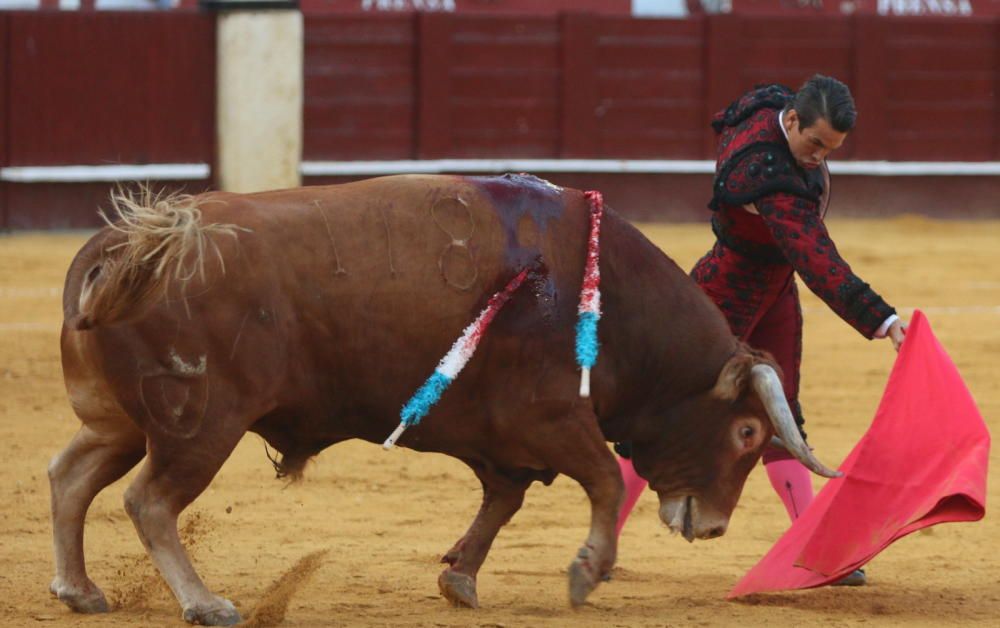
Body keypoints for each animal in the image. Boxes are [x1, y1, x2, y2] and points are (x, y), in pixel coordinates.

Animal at [48, 172, 836, 624]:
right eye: (746, 434)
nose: (714, 527)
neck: (607, 296)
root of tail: (130, 246)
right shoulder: (552, 415)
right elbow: (605, 480)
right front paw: (586, 573)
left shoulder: (504, 437)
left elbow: (503, 500)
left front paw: (459, 576)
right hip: (201, 424)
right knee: (150, 500)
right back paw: (205, 604)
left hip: (118, 421)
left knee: (71, 476)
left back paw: (79, 590)